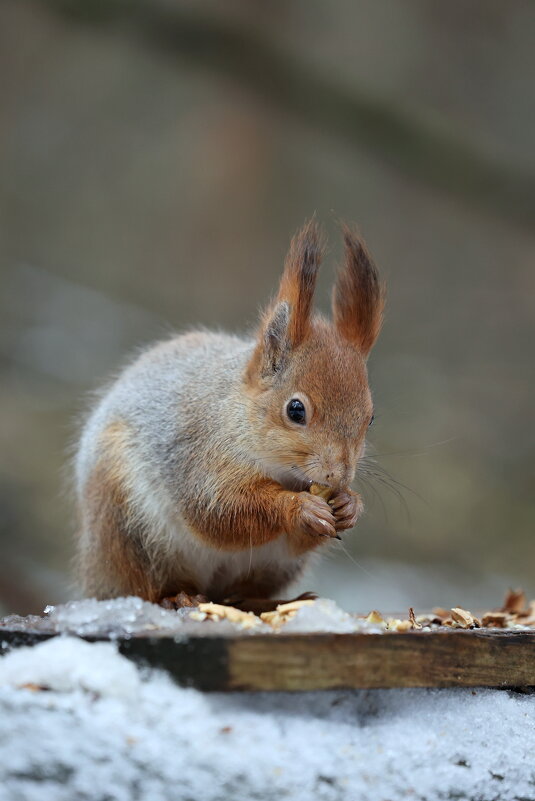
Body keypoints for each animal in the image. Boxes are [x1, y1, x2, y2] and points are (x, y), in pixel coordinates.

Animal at [75, 219, 386, 608]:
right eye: (295, 410)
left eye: (370, 418)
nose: (339, 476)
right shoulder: (199, 457)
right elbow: (220, 512)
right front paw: (299, 508)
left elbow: (294, 537)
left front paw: (349, 504)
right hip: (128, 527)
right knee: (147, 586)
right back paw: (177, 597)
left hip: (274, 568)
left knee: (240, 595)